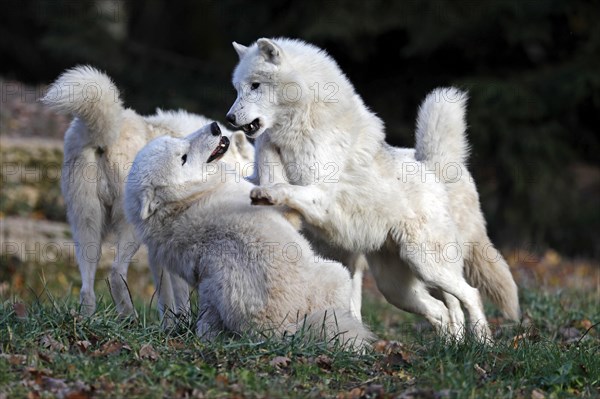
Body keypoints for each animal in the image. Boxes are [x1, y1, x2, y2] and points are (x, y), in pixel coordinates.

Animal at [43, 67, 254, 320]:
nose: (216, 128)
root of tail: (104, 135)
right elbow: (180, 293)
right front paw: (184, 321)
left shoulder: (159, 248)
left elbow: (166, 295)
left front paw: (171, 322)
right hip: (128, 230)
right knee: (115, 273)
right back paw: (129, 317)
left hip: (85, 224)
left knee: (86, 286)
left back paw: (86, 320)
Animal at [122, 122, 376, 350]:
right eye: (183, 158)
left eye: (180, 142)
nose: (215, 127)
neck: (187, 200)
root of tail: (284, 331)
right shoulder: (286, 216)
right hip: (337, 274)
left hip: (208, 294)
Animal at [225, 38, 520, 344]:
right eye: (237, 89)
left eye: (255, 85)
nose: (229, 118)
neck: (301, 127)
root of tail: (430, 167)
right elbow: (259, 169)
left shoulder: (321, 197)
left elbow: (284, 186)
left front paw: (266, 193)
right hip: (396, 288)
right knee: (442, 310)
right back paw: (451, 346)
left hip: (428, 266)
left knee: (469, 296)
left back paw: (482, 343)